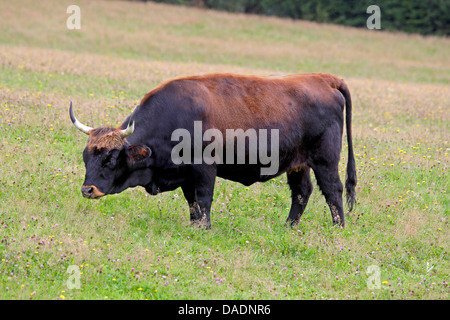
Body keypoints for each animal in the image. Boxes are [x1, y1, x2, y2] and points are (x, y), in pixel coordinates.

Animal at [70, 73, 356, 228]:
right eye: (86, 157)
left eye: (110, 159)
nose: (87, 190)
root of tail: (323, 79)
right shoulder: (185, 174)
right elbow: (192, 202)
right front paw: (194, 225)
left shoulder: (205, 168)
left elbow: (204, 199)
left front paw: (204, 228)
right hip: (298, 164)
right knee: (301, 192)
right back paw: (288, 227)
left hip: (325, 161)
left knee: (333, 190)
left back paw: (337, 227)